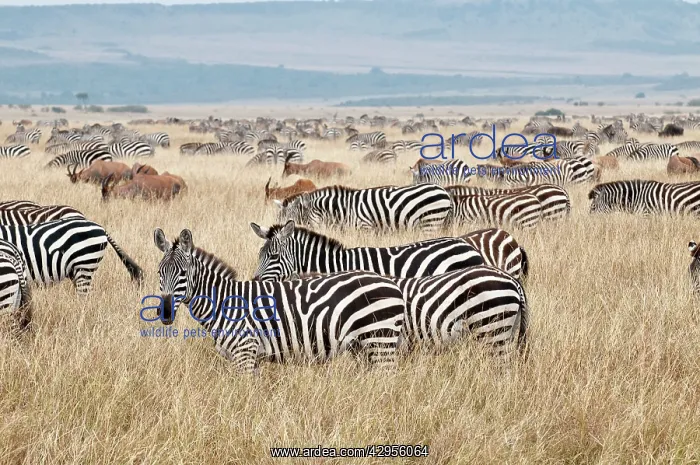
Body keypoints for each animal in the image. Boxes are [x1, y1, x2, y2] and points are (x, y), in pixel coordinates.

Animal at [153, 228, 406, 372]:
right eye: (159, 273)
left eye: (183, 274)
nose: (165, 314)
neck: (224, 302)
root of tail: (392, 284)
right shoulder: (249, 358)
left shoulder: (244, 353)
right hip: (364, 346)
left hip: (380, 340)